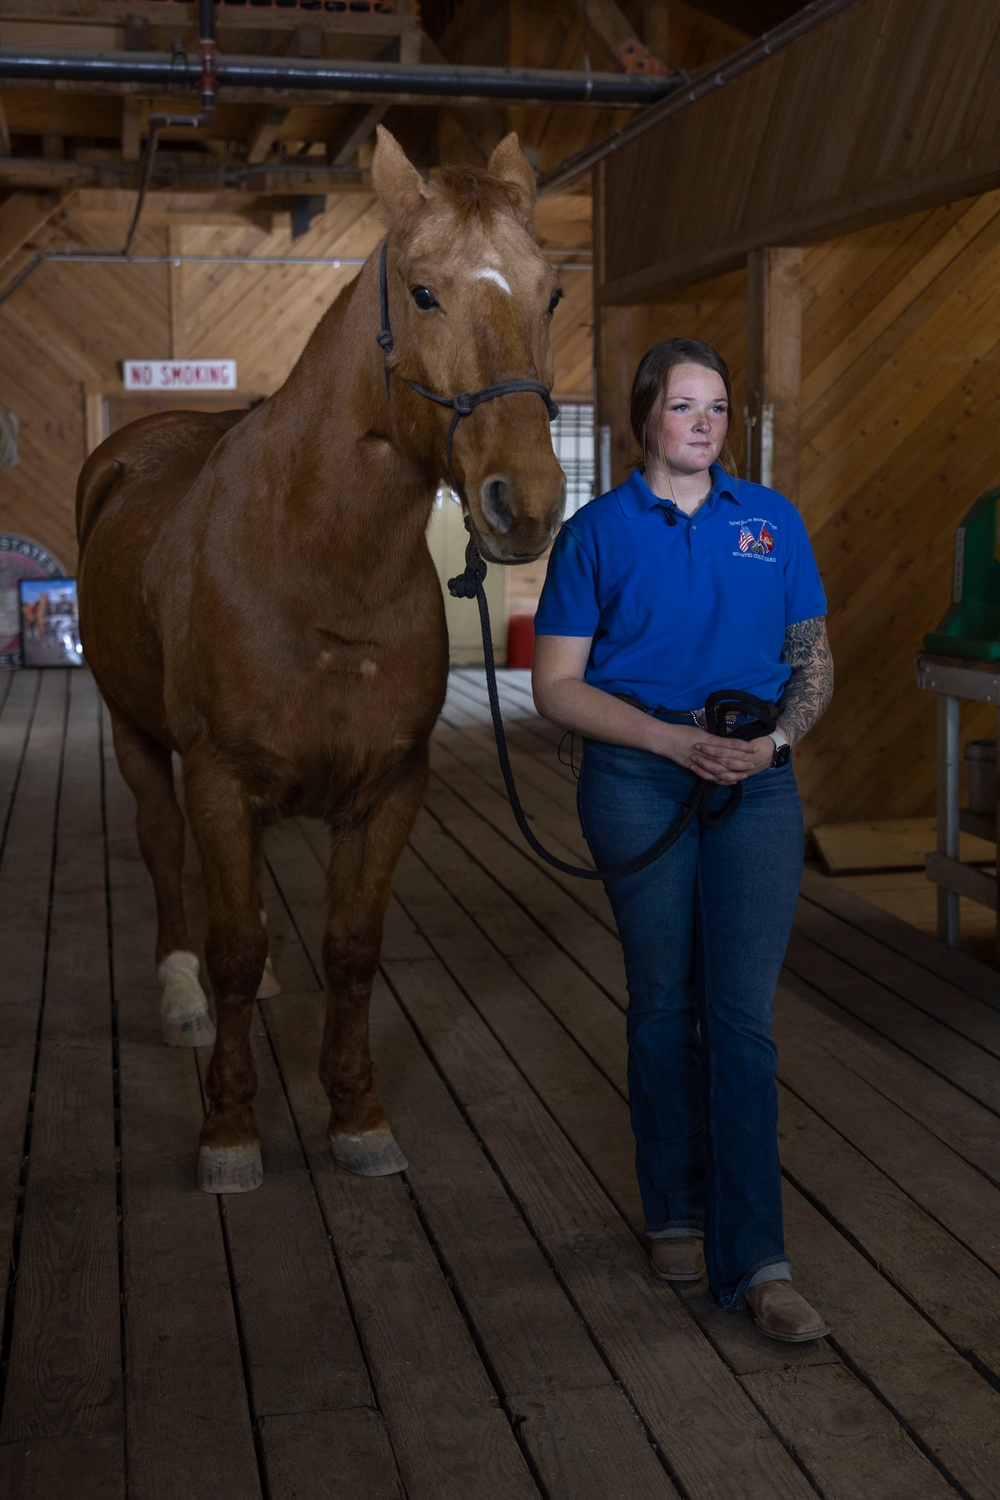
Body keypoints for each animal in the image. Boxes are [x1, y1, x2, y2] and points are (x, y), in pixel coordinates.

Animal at [76, 135, 563, 1200]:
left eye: (551, 294)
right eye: (423, 293)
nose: (528, 504)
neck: (319, 566)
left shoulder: (387, 790)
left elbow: (349, 950)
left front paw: (357, 1116)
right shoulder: (220, 776)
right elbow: (229, 940)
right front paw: (228, 1131)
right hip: (137, 737)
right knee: (164, 848)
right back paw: (180, 993)